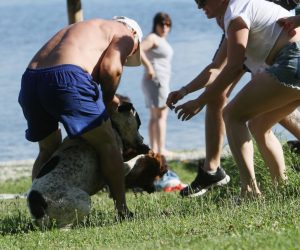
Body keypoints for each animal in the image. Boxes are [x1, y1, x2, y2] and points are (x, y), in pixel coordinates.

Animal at [27, 99, 168, 229]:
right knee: (64, 226)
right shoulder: (121, 165)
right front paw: (144, 156)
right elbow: (132, 162)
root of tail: (36, 201)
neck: (114, 126)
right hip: (81, 200)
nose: (142, 139)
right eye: (139, 123)